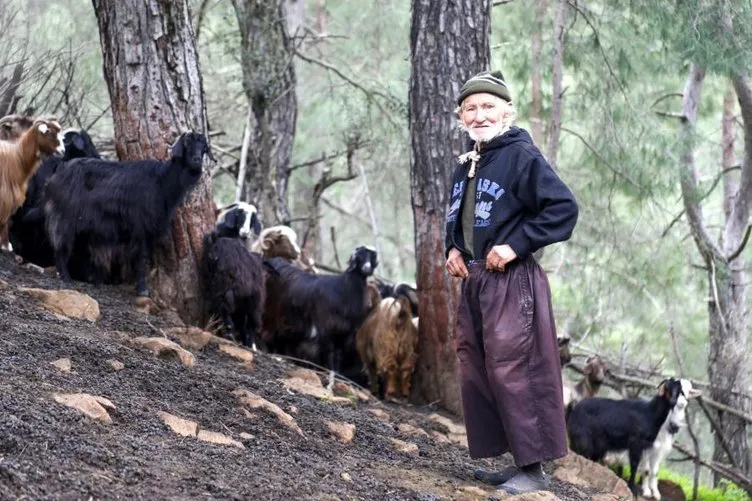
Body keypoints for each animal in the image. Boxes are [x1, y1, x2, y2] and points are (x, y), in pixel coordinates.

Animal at [43, 131, 213, 294]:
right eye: (186, 143)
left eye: (204, 147)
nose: (197, 161)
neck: (161, 180)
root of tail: (58, 171)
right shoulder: (139, 226)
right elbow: (141, 256)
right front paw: (142, 289)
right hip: (64, 216)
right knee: (61, 244)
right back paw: (65, 277)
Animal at [264, 244, 382, 388]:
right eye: (360, 257)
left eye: (372, 257)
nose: (367, 268)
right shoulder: (326, 328)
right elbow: (330, 354)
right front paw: (330, 378)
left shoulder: (345, 334)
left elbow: (338, 356)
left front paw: (337, 377)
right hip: (272, 314)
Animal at [568, 376, 696, 494]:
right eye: (668, 388)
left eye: (679, 391)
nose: (673, 401)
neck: (649, 413)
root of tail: (574, 409)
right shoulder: (636, 443)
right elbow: (634, 465)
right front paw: (632, 487)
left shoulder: (646, 446)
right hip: (583, 439)